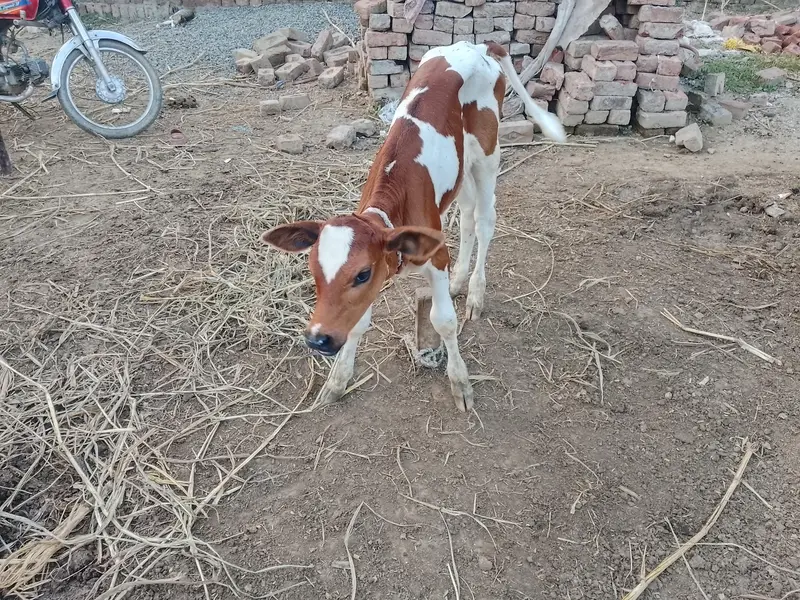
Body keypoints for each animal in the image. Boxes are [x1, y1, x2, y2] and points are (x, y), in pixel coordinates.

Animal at [262, 41, 566, 412]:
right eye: (313, 270)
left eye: (362, 274)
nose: (318, 339)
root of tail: (474, 45)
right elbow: (358, 322)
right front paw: (338, 380)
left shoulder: (433, 256)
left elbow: (444, 321)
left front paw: (460, 382)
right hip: (460, 165)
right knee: (467, 214)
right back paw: (458, 280)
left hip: (487, 151)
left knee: (484, 219)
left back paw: (475, 292)